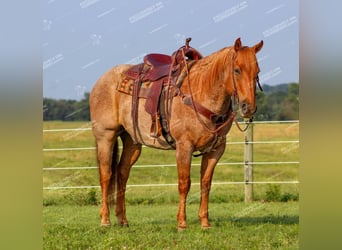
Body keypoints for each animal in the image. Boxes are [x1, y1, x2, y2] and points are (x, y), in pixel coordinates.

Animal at [89, 38, 264, 229]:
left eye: (257, 72)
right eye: (237, 70)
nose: (248, 108)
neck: (201, 93)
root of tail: (101, 80)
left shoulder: (215, 150)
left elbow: (205, 183)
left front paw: (205, 222)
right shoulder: (184, 146)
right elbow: (184, 183)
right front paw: (182, 222)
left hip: (132, 141)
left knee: (122, 173)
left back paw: (122, 220)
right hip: (106, 137)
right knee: (106, 175)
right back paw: (105, 220)